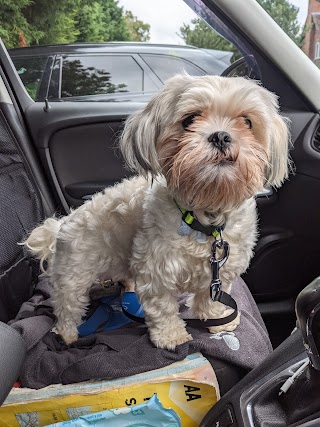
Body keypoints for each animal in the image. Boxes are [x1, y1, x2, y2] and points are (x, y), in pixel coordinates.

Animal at [24, 75, 290, 352]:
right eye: (189, 119)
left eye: (247, 122)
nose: (221, 136)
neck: (204, 217)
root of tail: (61, 224)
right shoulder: (156, 270)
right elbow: (162, 308)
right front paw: (171, 337)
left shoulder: (221, 271)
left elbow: (211, 298)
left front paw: (218, 320)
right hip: (74, 271)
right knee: (67, 306)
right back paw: (67, 335)